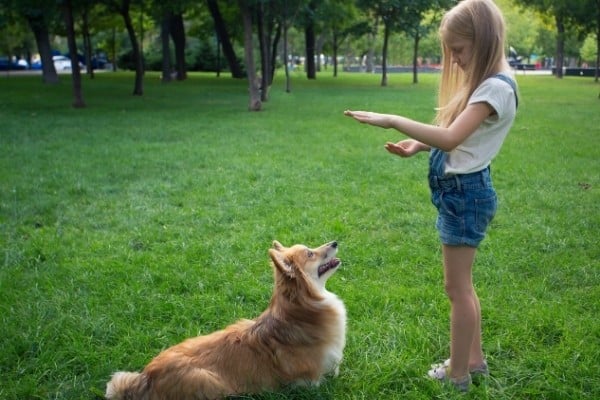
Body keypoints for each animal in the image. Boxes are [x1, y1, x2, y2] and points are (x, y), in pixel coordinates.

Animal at [105, 241, 344, 400]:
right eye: (310, 253)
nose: (335, 242)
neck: (303, 311)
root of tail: (145, 378)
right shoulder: (308, 382)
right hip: (208, 381)